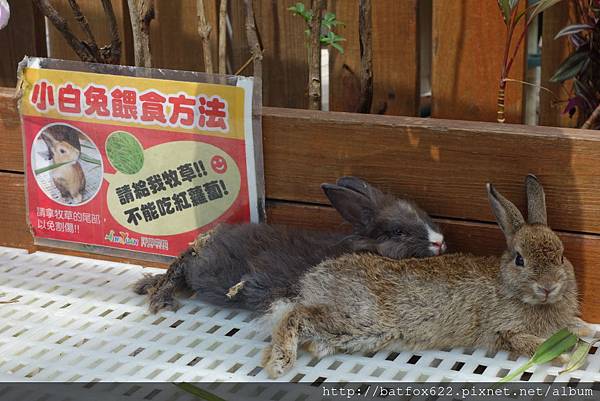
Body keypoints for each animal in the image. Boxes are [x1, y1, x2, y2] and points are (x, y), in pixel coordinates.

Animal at [136, 176, 446, 312]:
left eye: (423, 214)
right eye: (397, 232)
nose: (440, 242)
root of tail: (205, 241)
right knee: (180, 266)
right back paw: (160, 297)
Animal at [264, 174, 592, 378]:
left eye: (561, 255)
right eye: (520, 259)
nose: (548, 287)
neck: (509, 286)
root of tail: (313, 279)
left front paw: (586, 330)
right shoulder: (505, 331)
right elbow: (529, 344)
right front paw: (565, 357)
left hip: (351, 332)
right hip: (356, 317)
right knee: (294, 315)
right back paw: (278, 363)